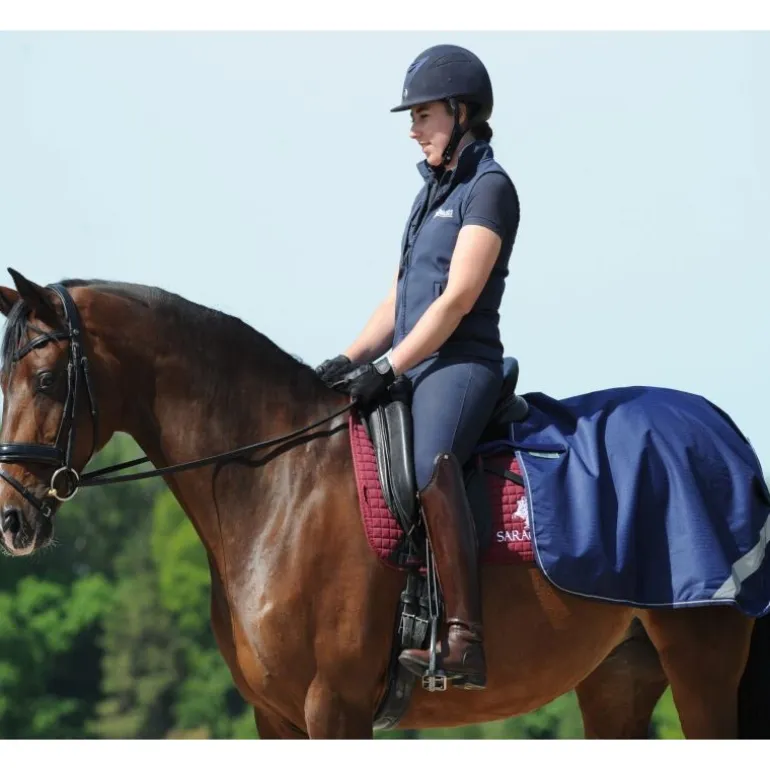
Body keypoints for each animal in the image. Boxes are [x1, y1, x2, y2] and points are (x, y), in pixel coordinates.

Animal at [0, 269, 768, 740]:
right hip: (618, 677)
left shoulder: (333, 707)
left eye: (46, 380)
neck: (279, 486)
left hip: (702, 666)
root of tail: (724, 432)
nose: (12, 520)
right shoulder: (275, 716)